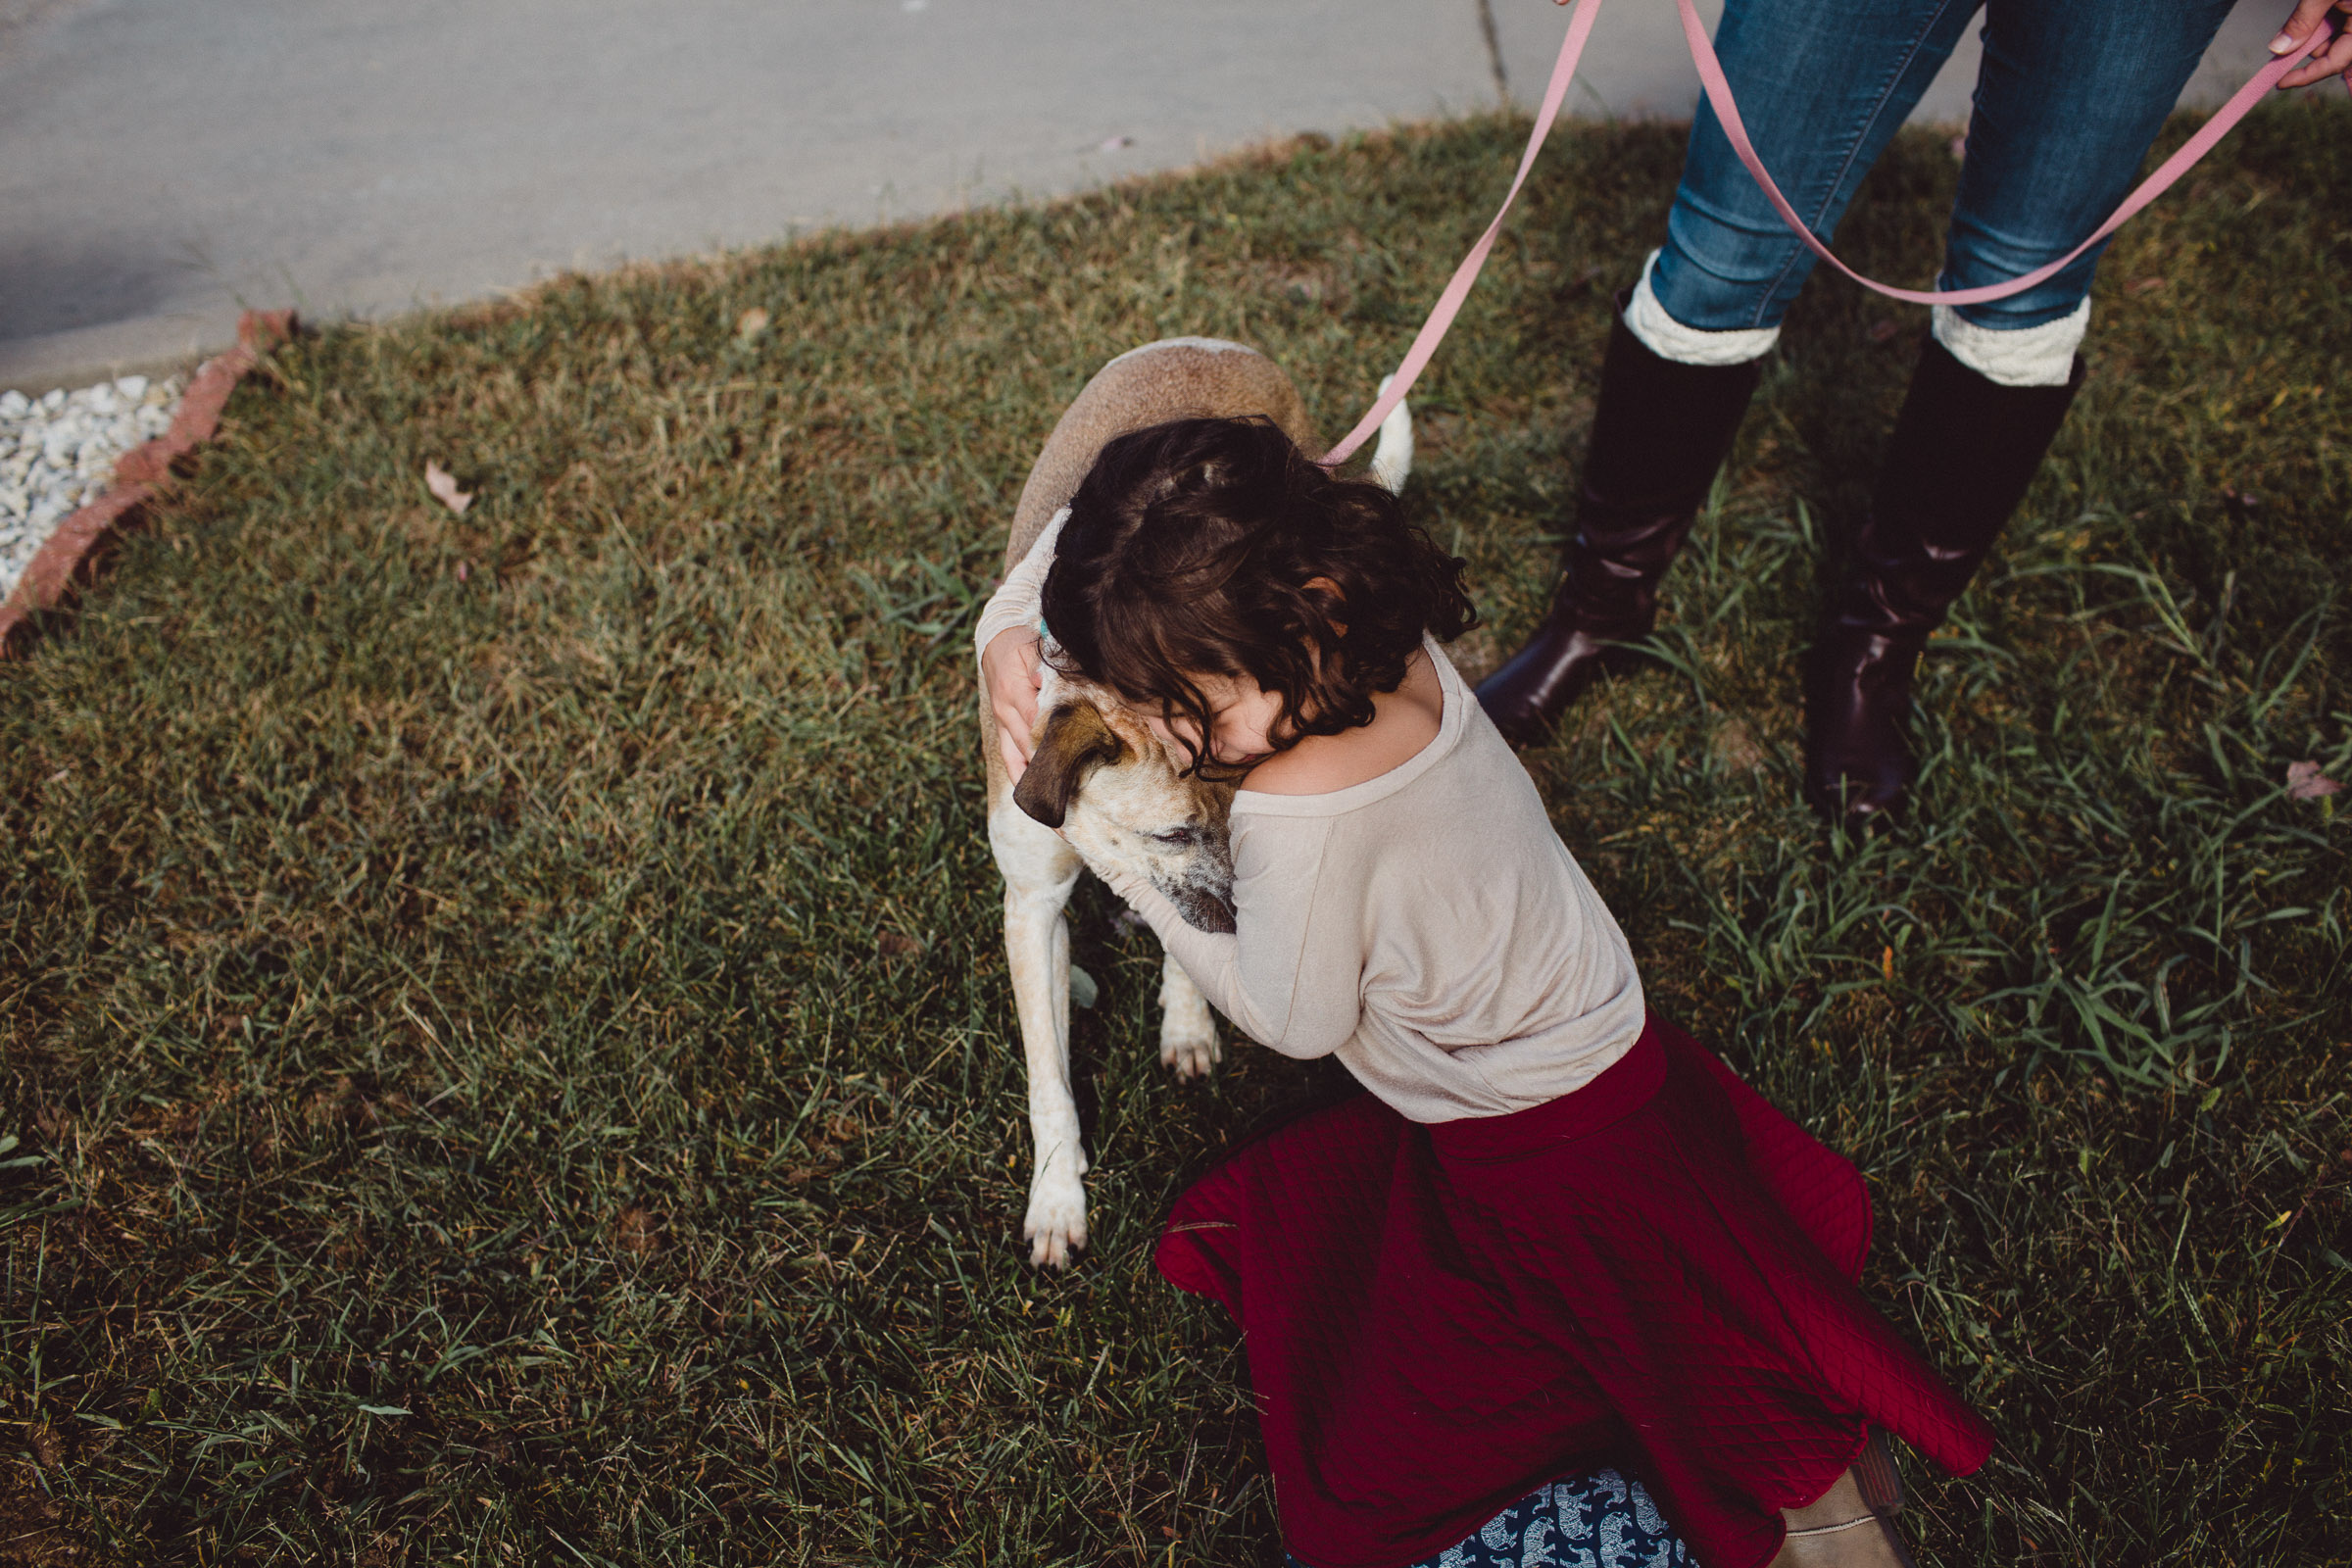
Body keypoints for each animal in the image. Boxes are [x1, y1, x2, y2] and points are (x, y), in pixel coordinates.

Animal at [983, 338, 1401, 1269]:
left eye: (1255, 820)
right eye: (1171, 831)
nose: (1265, 929)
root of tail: (1213, 345)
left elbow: (1185, 929)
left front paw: (1187, 1018)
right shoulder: (1032, 903)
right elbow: (1048, 1075)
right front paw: (1057, 1197)